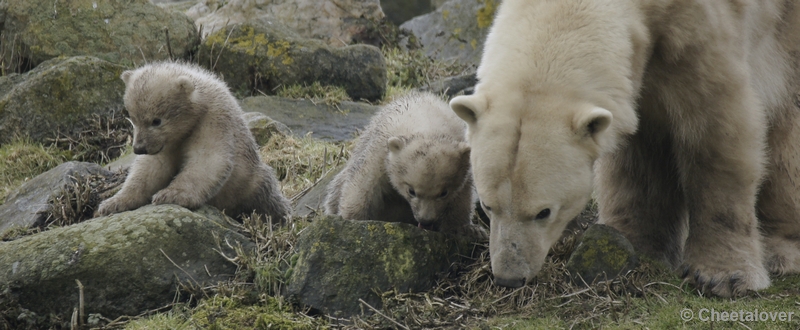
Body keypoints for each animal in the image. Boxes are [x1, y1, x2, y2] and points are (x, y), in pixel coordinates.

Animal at [450, 0, 800, 298]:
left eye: (543, 212)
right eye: (487, 205)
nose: (509, 278)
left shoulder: (700, 32)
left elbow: (717, 131)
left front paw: (721, 276)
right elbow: (637, 155)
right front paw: (635, 243)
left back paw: (780, 250)